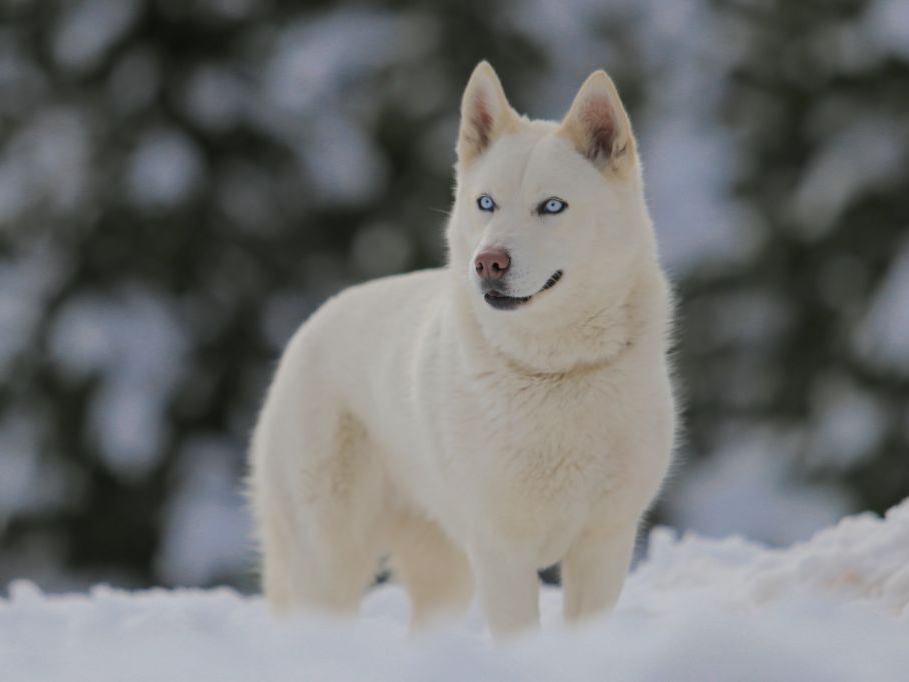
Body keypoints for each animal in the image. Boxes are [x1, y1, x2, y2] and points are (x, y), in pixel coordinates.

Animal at [248, 61, 672, 636]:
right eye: (485, 203)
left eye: (552, 206)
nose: (488, 262)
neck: (553, 371)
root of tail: (308, 328)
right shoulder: (501, 551)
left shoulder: (604, 542)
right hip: (330, 557)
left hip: (443, 574)